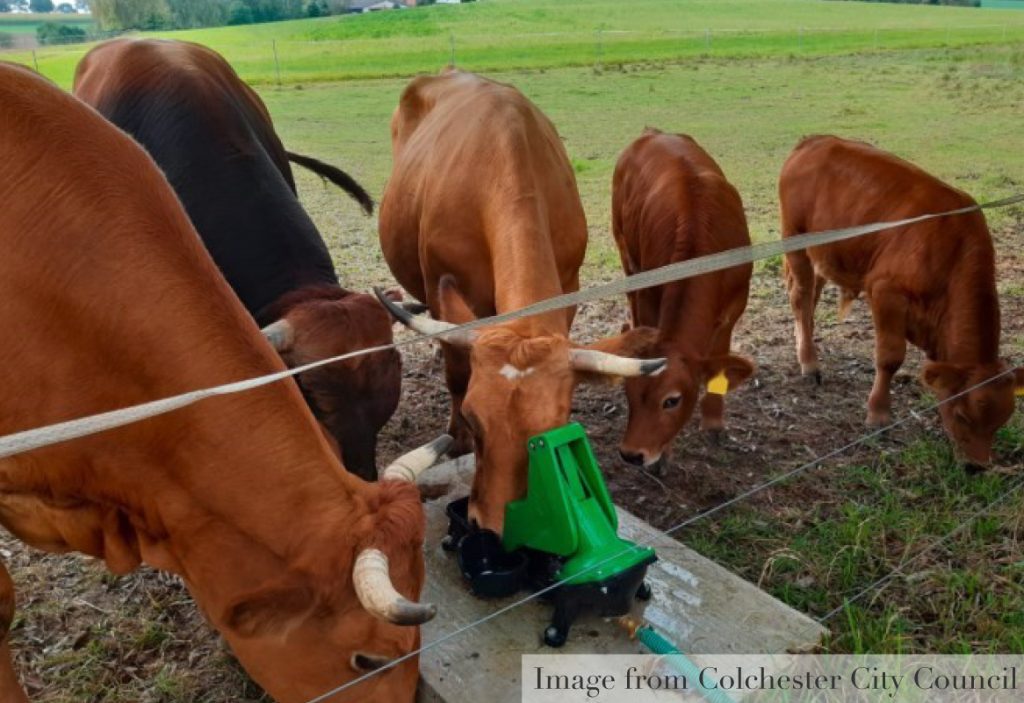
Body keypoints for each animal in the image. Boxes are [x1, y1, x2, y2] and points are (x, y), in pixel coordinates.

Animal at [376, 71, 663, 532]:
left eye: (555, 426)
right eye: (472, 419)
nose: (490, 527)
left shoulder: (569, 285)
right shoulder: (444, 289)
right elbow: (457, 372)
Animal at [610, 130, 757, 472]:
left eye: (672, 400)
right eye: (628, 392)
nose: (631, 454)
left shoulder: (734, 308)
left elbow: (718, 360)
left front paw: (714, 422)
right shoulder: (650, 296)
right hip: (625, 250)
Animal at [778, 135, 1019, 470]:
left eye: (1001, 422)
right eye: (962, 415)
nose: (976, 467)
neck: (951, 250)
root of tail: (815, 140)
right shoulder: (886, 292)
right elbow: (890, 357)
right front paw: (878, 414)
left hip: (824, 254)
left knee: (810, 297)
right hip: (795, 238)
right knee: (801, 297)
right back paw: (809, 363)